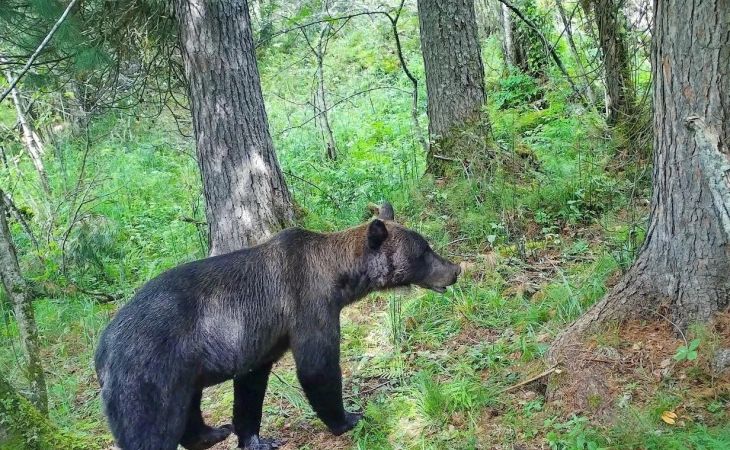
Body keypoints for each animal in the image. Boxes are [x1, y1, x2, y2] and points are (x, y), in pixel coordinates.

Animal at [94, 203, 460, 450]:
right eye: (424, 252)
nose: (454, 270)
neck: (338, 279)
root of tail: (102, 351)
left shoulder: (258, 342)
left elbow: (251, 387)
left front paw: (255, 437)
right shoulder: (308, 306)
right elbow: (317, 367)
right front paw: (348, 417)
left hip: (183, 370)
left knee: (188, 407)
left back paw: (213, 432)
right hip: (148, 372)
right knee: (150, 429)